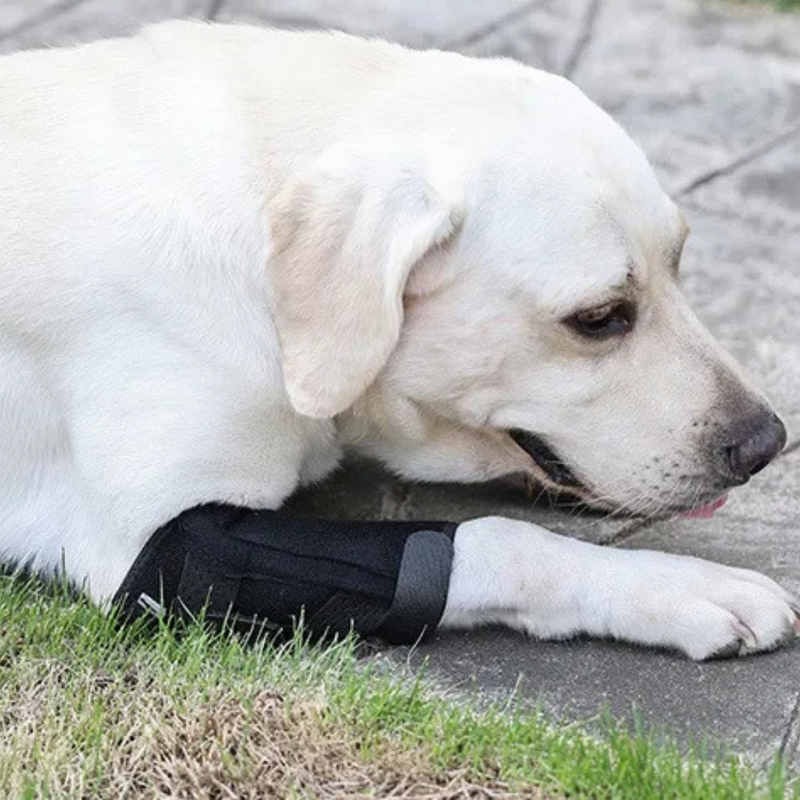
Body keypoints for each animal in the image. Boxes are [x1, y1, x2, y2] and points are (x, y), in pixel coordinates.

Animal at [0, 23, 796, 664]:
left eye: (680, 264)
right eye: (599, 317)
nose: (766, 444)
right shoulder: (160, 546)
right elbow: (498, 541)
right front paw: (678, 587)